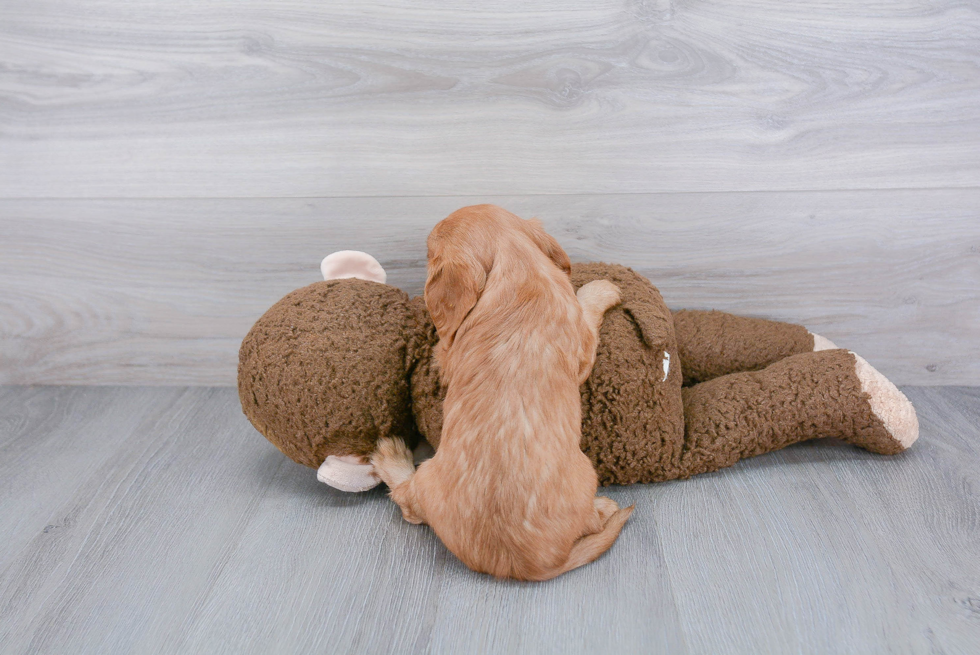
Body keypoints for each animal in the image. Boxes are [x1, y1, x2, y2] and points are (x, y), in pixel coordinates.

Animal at [372, 206, 632, 584]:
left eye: (429, 253)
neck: (517, 265)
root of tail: (520, 565)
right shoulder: (582, 344)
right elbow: (585, 307)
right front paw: (602, 288)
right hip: (587, 474)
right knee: (407, 504)